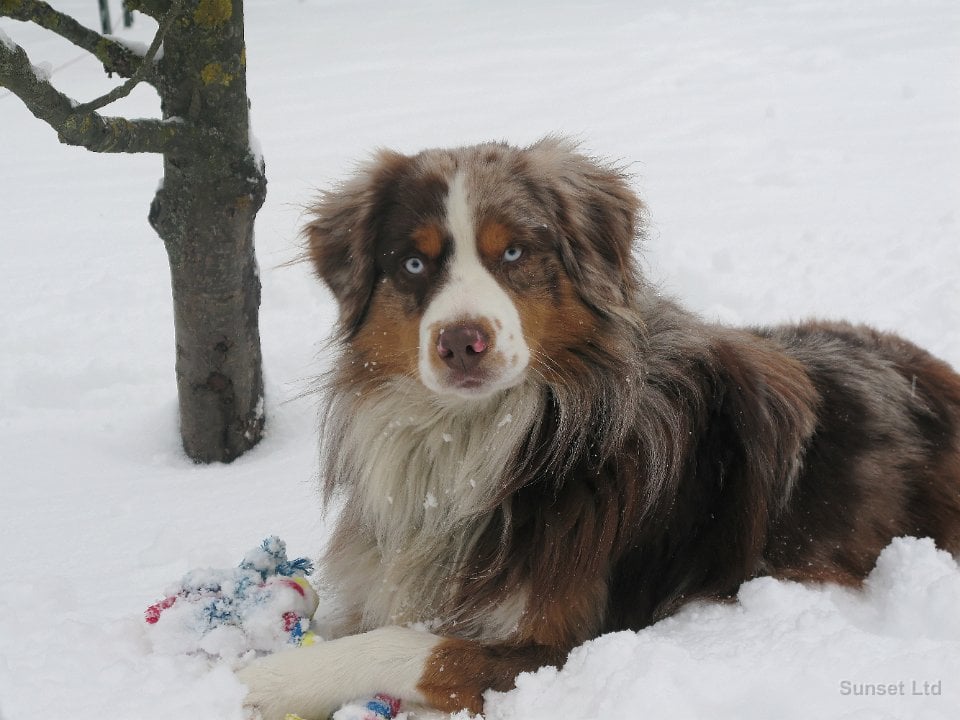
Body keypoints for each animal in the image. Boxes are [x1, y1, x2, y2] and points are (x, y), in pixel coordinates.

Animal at [239, 137, 960, 719]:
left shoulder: (572, 642)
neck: (495, 440)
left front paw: (277, 679)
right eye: (413, 264)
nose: (462, 342)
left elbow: (412, 646)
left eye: (515, 252)